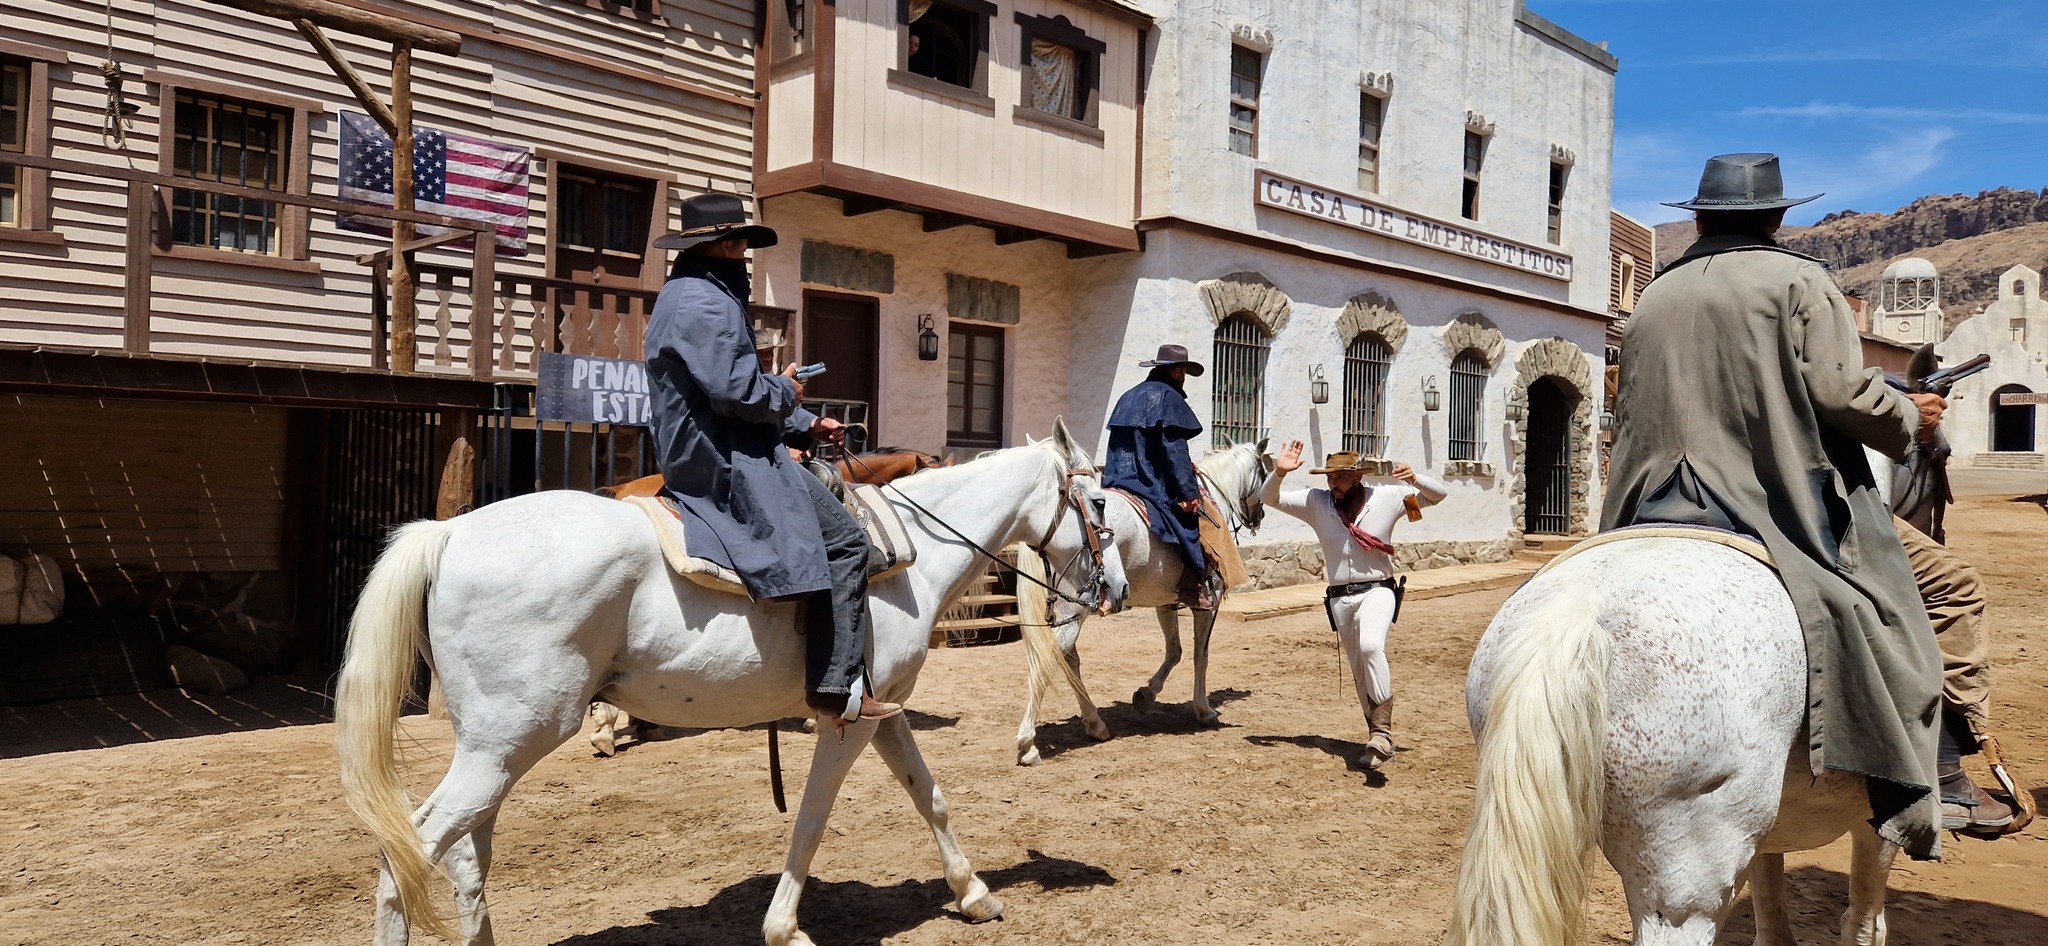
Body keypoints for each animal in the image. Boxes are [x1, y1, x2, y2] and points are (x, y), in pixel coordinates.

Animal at [337, 421, 1138, 946]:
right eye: (1098, 505)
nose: (1119, 590)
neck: (909, 555)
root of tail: (449, 534)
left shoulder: (886, 712)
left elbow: (929, 796)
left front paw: (975, 895)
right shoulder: (845, 720)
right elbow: (812, 818)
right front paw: (785, 929)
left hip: (497, 747)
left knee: (465, 852)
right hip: (513, 738)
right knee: (408, 854)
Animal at [1003, 440, 1261, 765]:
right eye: (1263, 471)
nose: (1259, 515)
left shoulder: (1166, 602)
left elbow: (1174, 651)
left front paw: (1146, 694)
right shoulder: (1208, 603)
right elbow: (1199, 655)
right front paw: (1203, 710)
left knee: (1068, 660)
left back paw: (1095, 723)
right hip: (1073, 610)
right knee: (1051, 659)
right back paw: (1029, 743)